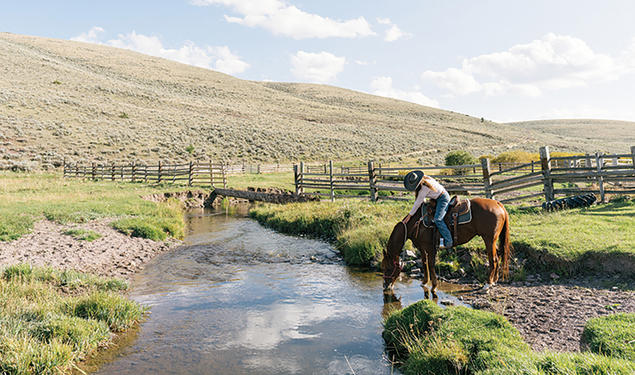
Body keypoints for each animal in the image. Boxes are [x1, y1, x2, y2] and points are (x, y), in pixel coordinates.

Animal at [382, 198, 512, 296]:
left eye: (388, 268)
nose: (385, 286)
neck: (416, 222)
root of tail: (498, 204)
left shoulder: (430, 247)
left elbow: (431, 264)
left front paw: (434, 286)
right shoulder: (422, 247)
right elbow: (424, 263)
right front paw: (424, 282)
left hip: (489, 239)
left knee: (493, 260)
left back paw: (487, 284)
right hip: (493, 241)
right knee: (497, 257)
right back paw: (494, 281)